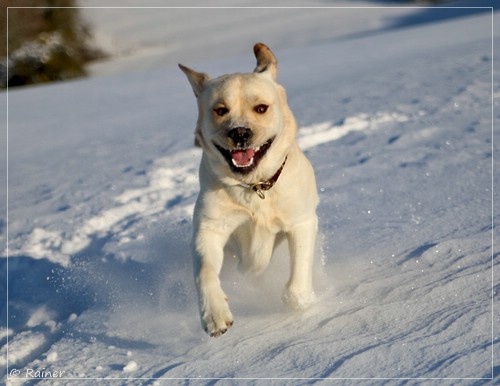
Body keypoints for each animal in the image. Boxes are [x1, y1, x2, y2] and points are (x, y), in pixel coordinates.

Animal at [180, 43, 320, 338]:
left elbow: (298, 269)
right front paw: (215, 315)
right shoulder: (210, 227)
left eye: (261, 108)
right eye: (220, 110)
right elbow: (205, 271)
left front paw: (299, 301)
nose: (240, 133)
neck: (254, 187)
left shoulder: (301, 220)